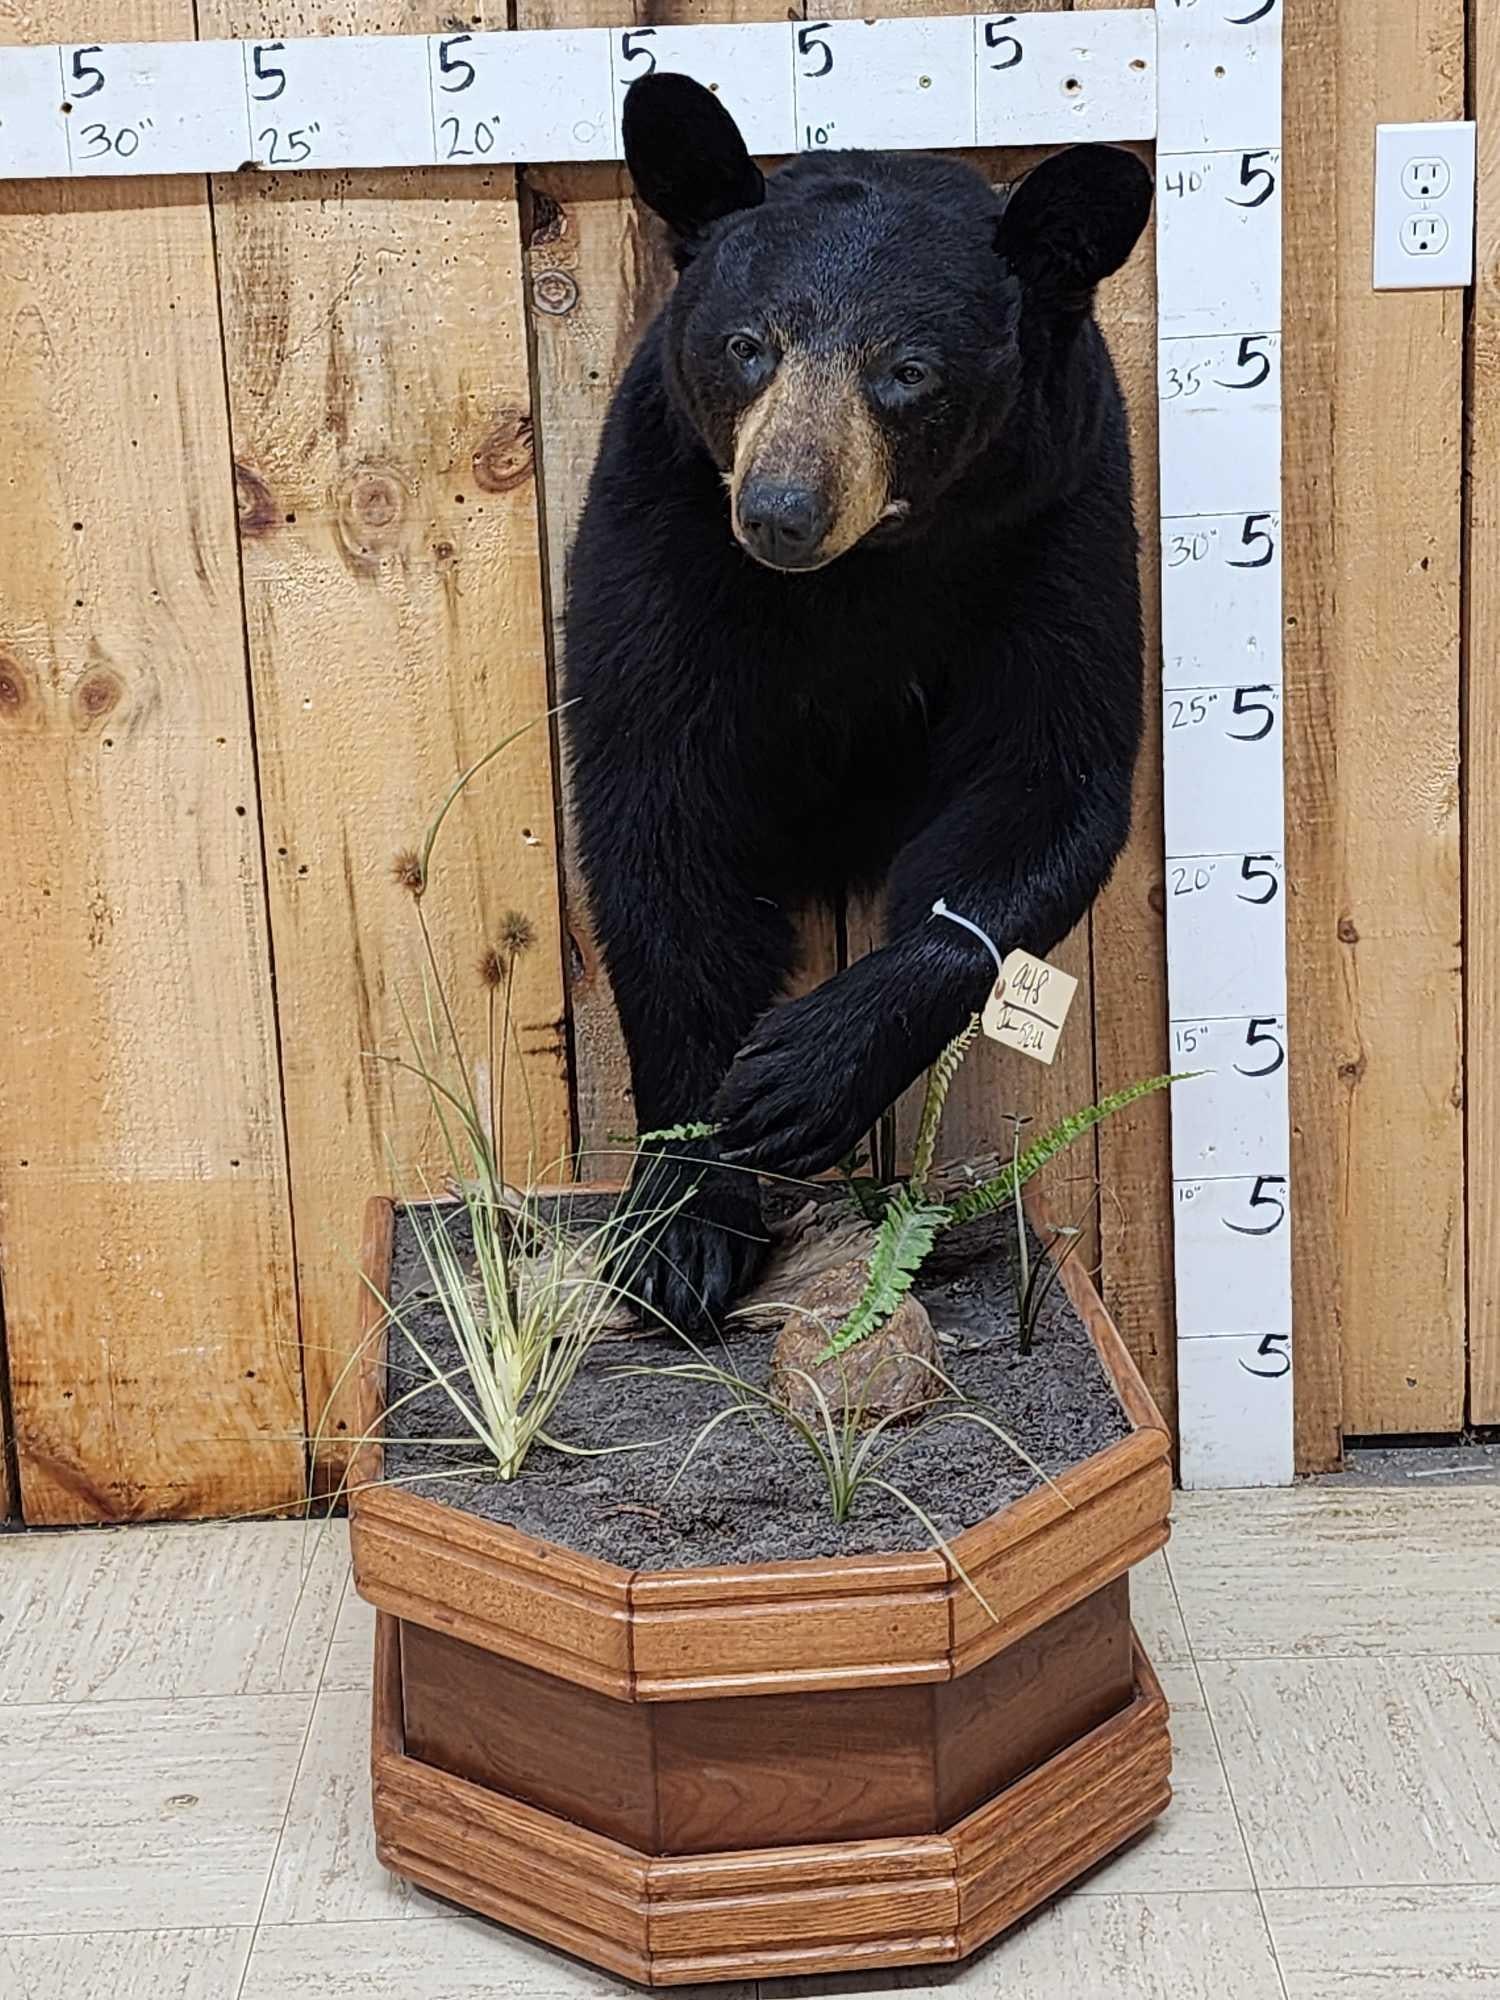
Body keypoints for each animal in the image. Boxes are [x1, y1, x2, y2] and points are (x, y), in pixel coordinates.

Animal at [562, 73, 1153, 1332]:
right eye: (749, 346)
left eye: (908, 369)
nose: (782, 510)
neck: (861, 574)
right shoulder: (663, 520)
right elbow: (658, 815)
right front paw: (684, 1218)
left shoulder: (1061, 517)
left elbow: (1047, 785)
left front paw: (805, 1070)